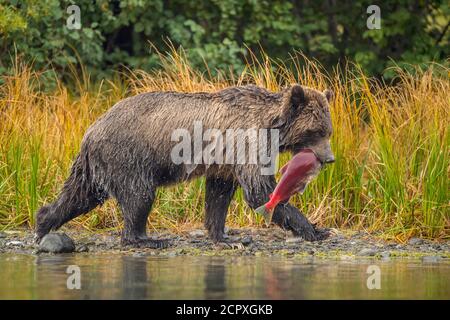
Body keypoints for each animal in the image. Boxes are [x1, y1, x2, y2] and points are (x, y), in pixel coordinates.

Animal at [36, 84, 334, 248]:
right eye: (317, 131)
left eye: (328, 130)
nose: (330, 158)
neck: (271, 125)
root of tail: (90, 130)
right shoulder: (246, 140)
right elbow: (259, 189)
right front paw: (316, 229)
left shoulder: (223, 160)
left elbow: (219, 195)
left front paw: (226, 236)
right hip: (129, 156)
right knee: (139, 196)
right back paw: (146, 238)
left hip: (95, 165)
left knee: (79, 195)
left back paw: (42, 224)